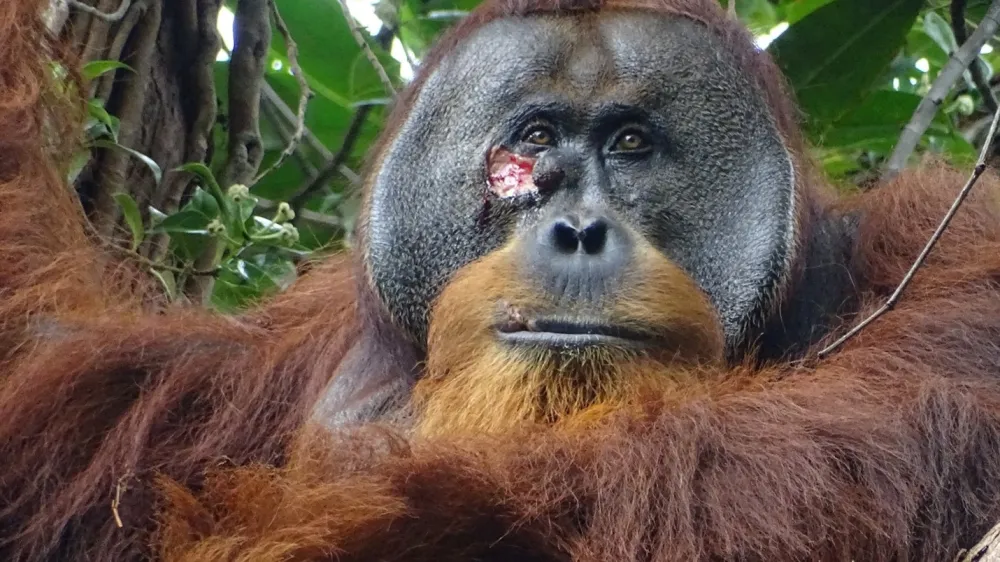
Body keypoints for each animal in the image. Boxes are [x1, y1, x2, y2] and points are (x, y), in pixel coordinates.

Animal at [3, 0, 1000, 560]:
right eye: (535, 140)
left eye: (629, 143)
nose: (578, 229)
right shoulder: (258, 365)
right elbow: (54, 373)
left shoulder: (937, 242)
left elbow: (880, 430)